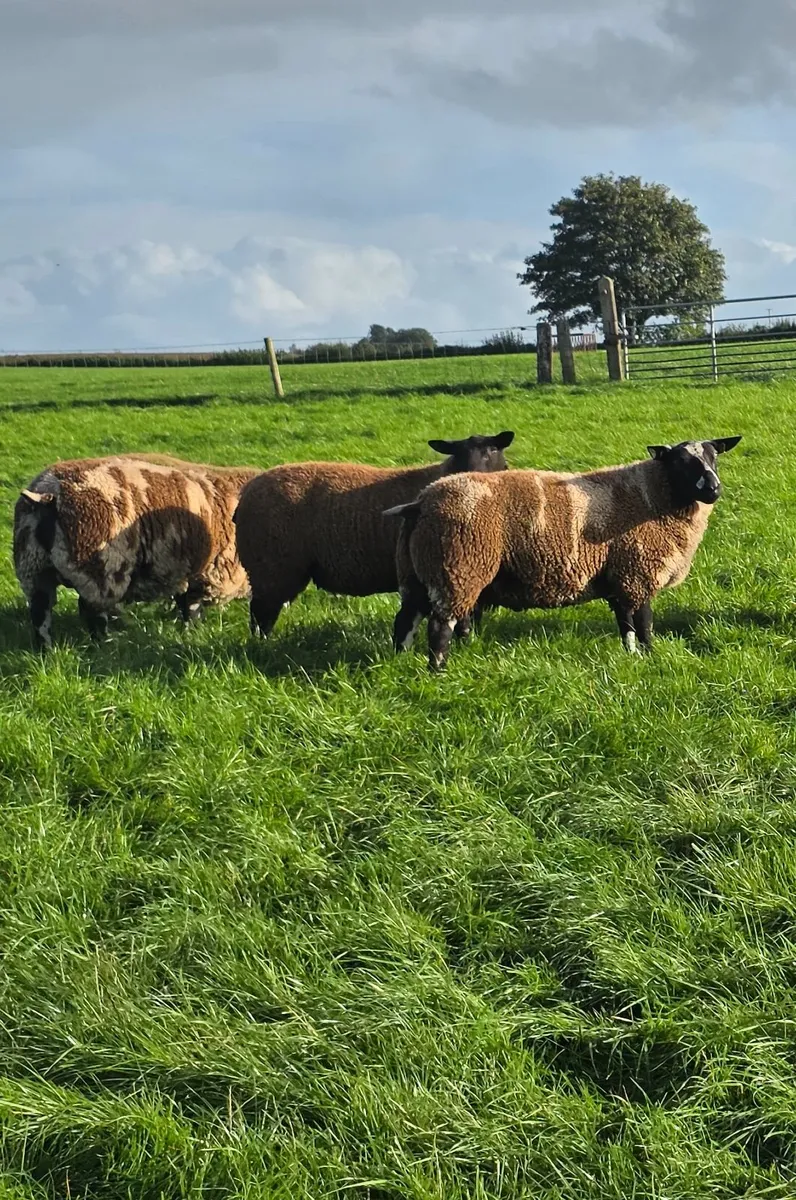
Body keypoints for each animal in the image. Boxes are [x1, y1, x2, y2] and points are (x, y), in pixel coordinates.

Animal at [13, 454, 259, 647]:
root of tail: (47, 496)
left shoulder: (187, 573)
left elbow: (185, 603)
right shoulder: (205, 574)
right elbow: (192, 607)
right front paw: (193, 631)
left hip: (33, 569)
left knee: (40, 613)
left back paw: (46, 649)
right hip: (101, 571)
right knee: (91, 611)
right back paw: (104, 644)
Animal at [233, 432, 515, 640]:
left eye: (493, 450)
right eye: (458, 452)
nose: (471, 474)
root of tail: (246, 493)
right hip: (273, 568)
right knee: (261, 615)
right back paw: (263, 646)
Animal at [386, 437, 741, 670]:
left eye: (714, 457)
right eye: (680, 462)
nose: (714, 489)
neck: (651, 496)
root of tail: (421, 502)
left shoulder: (618, 577)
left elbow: (625, 623)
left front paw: (631, 657)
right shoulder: (637, 573)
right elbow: (644, 623)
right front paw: (650, 656)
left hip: (416, 573)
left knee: (405, 621)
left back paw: (400, 662)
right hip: (457, 568)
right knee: (439, 626)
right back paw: (439, 670)